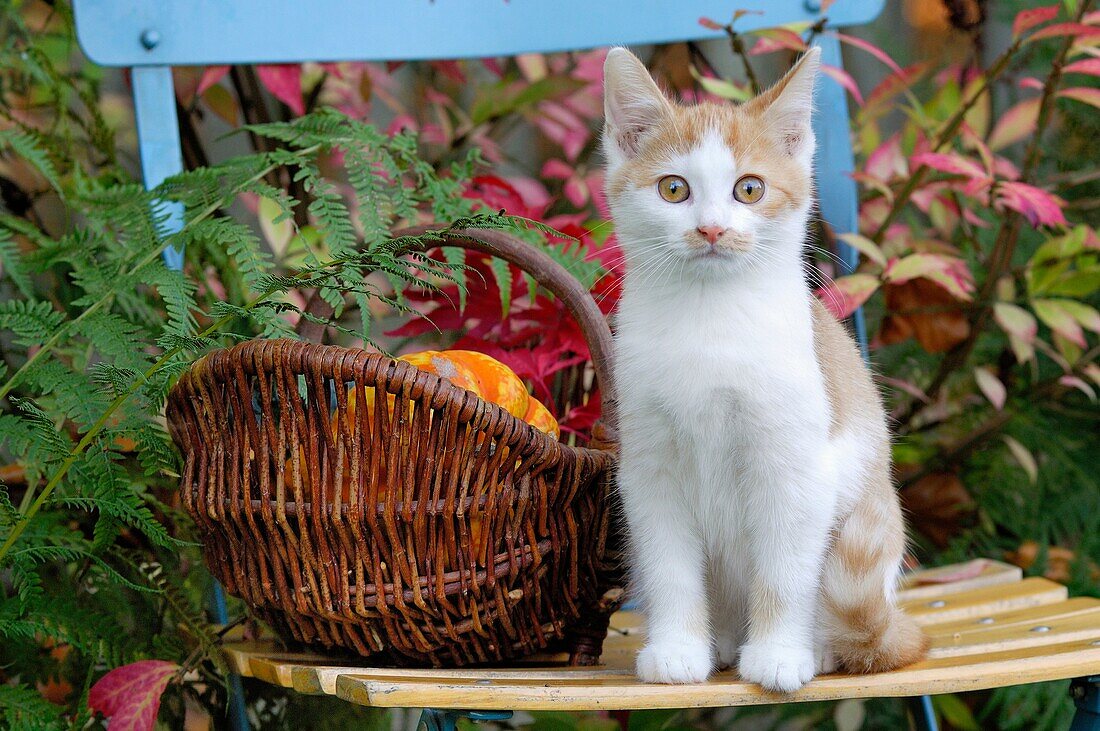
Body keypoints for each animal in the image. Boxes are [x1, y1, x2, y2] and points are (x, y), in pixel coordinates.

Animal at [602, 48, 928, 694]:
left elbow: (783, 570)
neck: (709, 320)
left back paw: (817, 648)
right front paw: (677, 648)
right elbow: (671, 566)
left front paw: (778, 654)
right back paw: (722, 640)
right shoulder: (650, 467)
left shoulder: (796, 466)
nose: (711, 228)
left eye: (748, 189)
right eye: (673, 189)